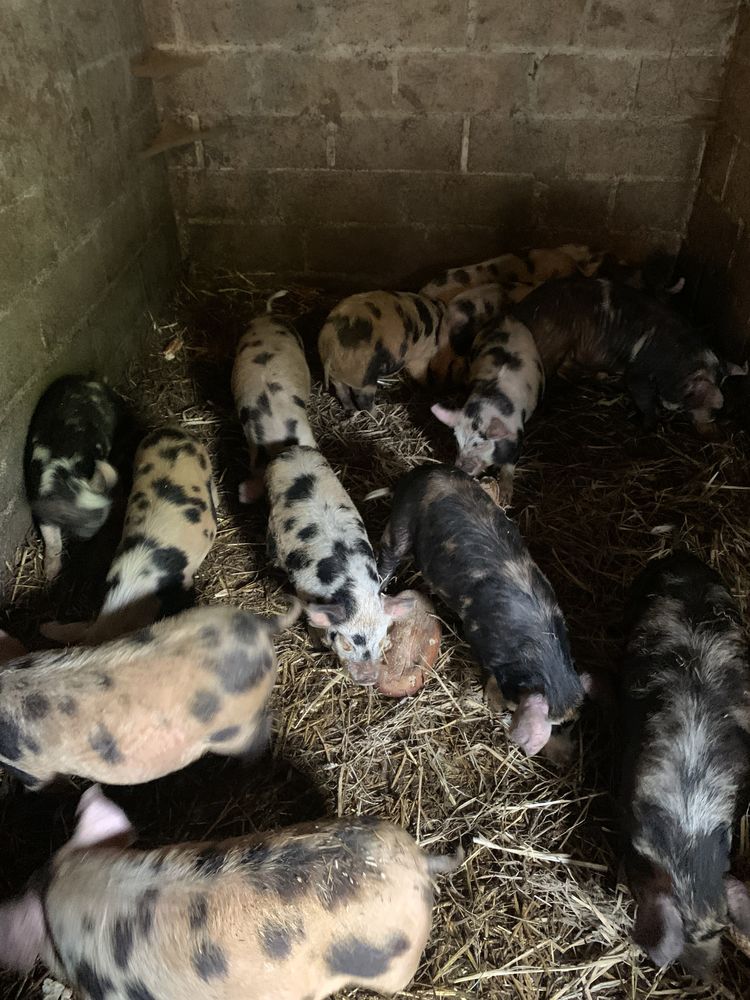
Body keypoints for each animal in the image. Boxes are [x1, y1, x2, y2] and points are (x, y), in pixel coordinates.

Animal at [24, 375, 122, 580]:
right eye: (80, 520)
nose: (89, 536)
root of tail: (90, 381)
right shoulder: (40, 498)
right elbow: (52, 539)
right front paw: (50, 574)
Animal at [265, 445, 414, 684]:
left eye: (380, 641)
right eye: (346, 644)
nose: (368, 679)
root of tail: (293, 450)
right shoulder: (302, 586)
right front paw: (317, 641)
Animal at [378, 464, 588, 756]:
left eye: (570, 725)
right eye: (552, 729)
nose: (569, 758)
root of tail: (420, 472)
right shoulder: (481, 639)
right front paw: (492, 702)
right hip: (402, 522)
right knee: (389, 554)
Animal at [431, 314, 545, 503]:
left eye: (480, 444)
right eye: (457, 440)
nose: (462, 467)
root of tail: (507, 317)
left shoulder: (518, 437)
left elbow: (509, 464)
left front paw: (505, 498)